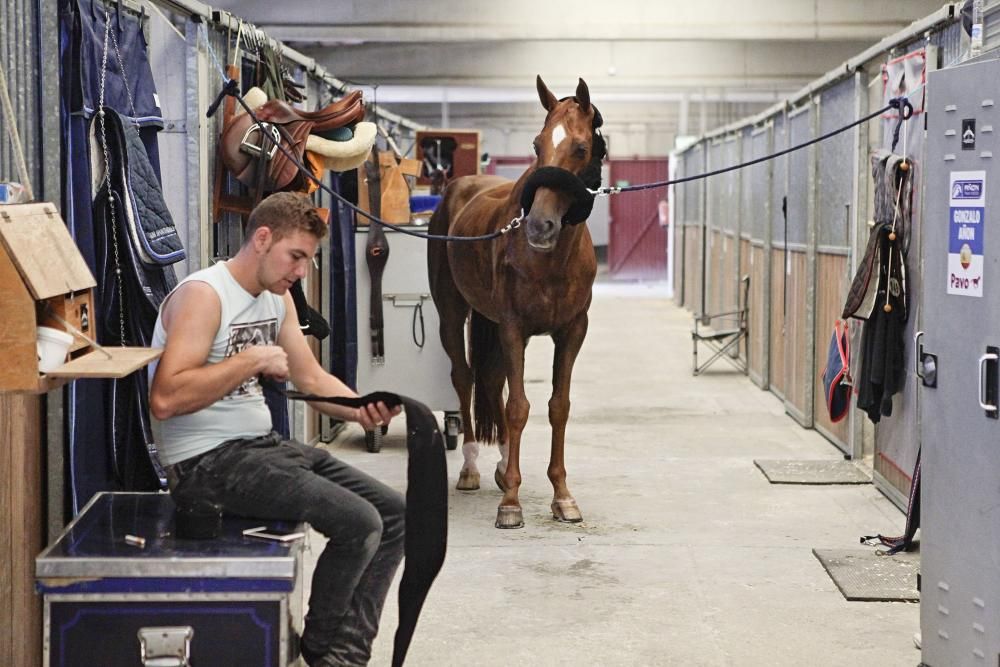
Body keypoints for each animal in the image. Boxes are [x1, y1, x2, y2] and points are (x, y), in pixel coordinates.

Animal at [428, 75, 604, 528]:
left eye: (581, 148)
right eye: (537, 143)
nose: (540, 226)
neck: (551, 259)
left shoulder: (572, 331)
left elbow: (557, 406)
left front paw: (562, 497)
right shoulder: (512, 327)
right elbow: (520, 407)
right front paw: (510, 502)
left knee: (494, 384)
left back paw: (502, 465)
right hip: (452, 315)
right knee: (465, 379)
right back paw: (471, 468)